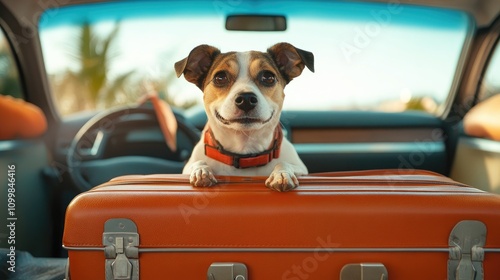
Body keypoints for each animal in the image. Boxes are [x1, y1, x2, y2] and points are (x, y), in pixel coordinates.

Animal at [175, 42, 312, 191]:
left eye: (268, 77)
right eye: (220, 77)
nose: (246, 99)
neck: (244, 152)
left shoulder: (301, 168)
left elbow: (284, 163)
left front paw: (281, 174)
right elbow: (198, 162)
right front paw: (201, 171)